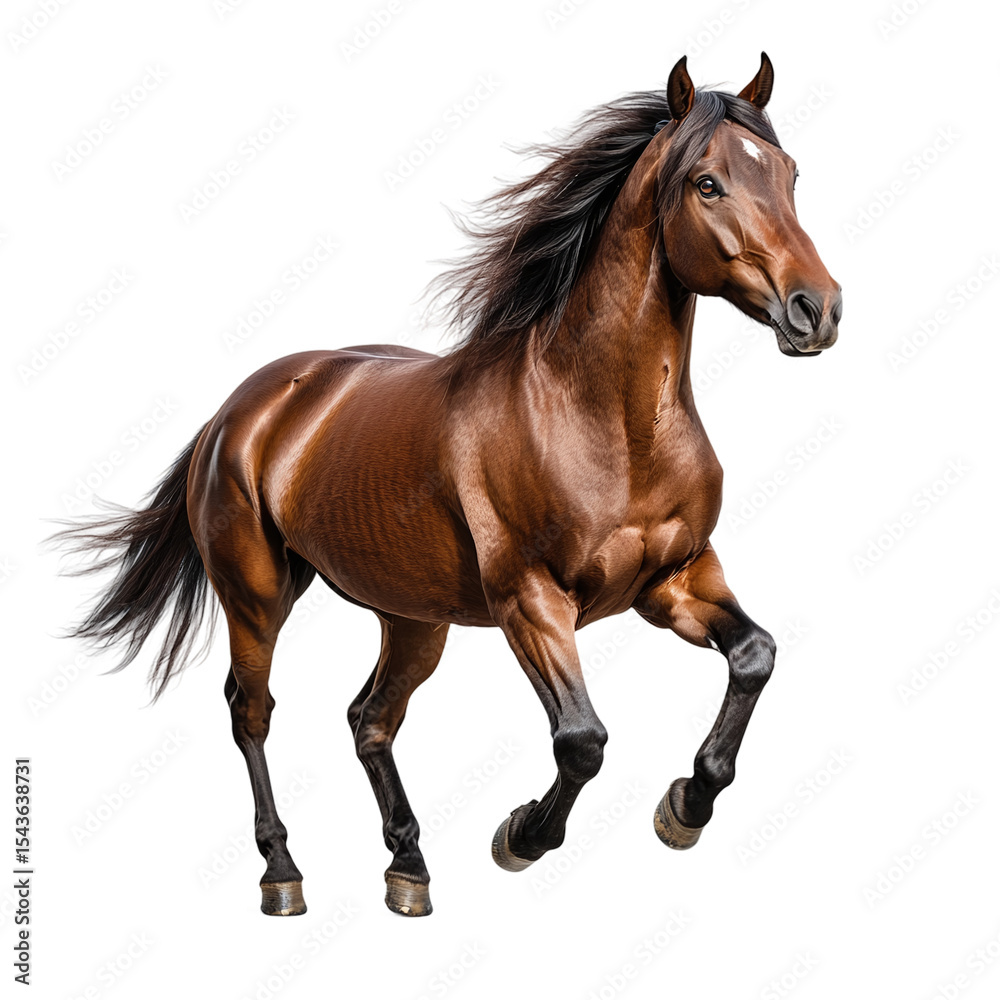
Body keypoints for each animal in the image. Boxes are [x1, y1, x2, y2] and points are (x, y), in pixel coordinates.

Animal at [56, 53, 841, 919]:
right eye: (708, 183)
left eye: (790, 174)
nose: (817, 309)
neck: (605, 420)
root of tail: (240, 409)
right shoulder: (531, 601)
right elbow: (583, 741)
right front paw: (522, 836)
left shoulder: (675, 580)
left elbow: (756, 657)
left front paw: (686, 807)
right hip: (257, 595)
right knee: (251, 713)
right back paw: (283, 874)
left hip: (413, 617)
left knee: (369, 718)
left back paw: (409, 870)